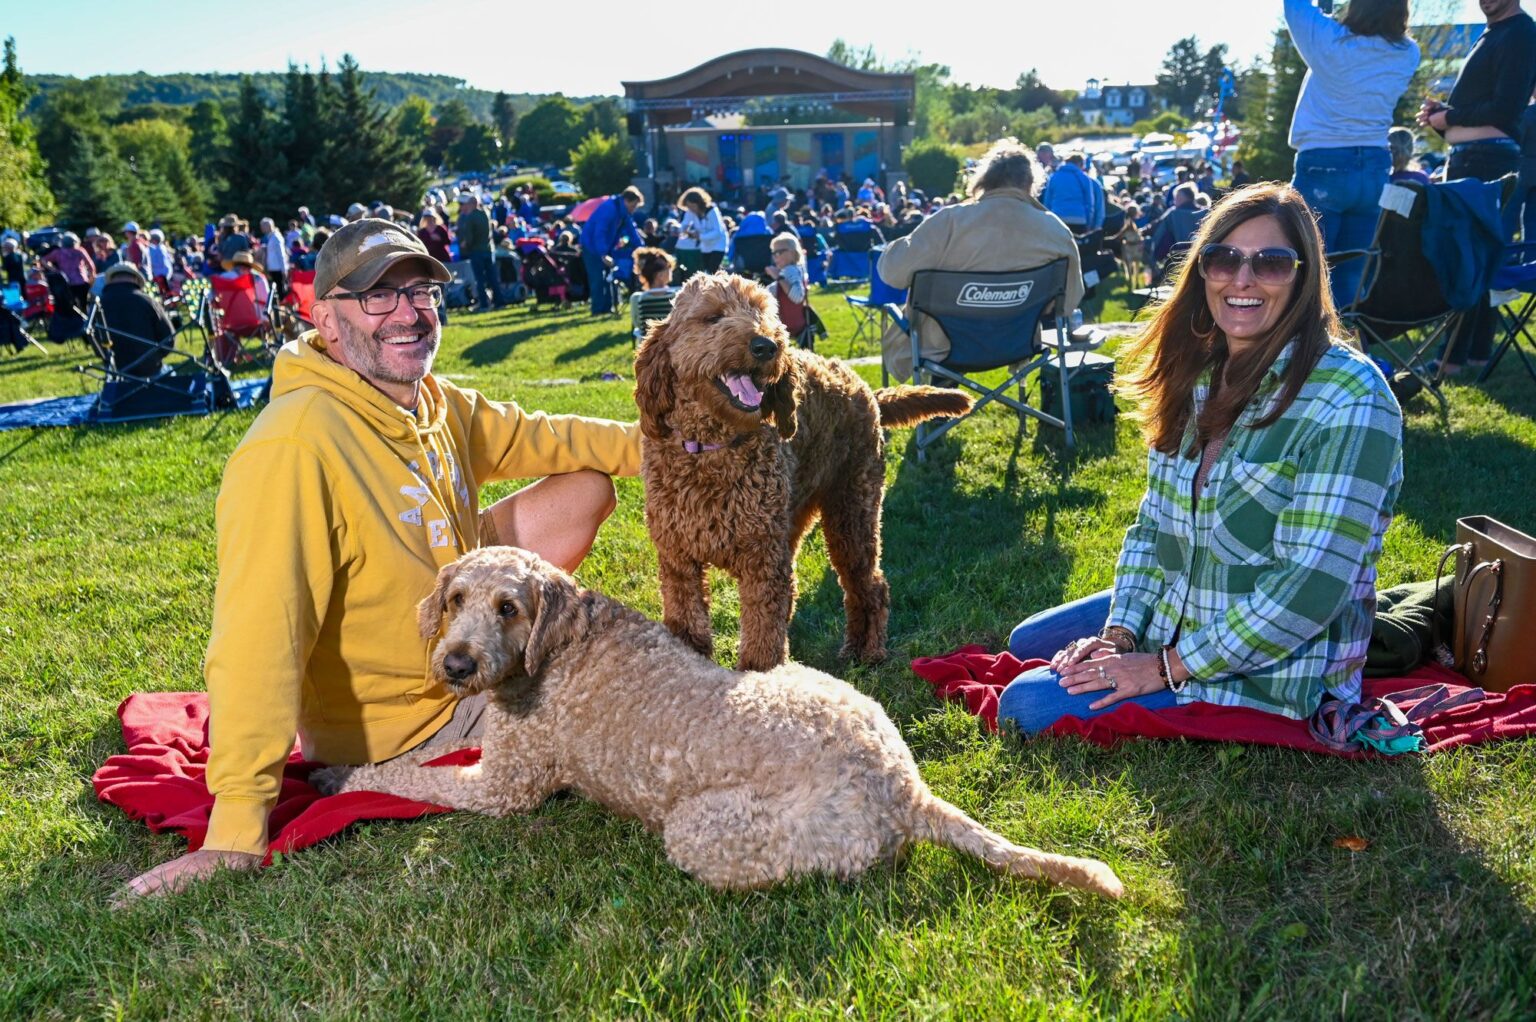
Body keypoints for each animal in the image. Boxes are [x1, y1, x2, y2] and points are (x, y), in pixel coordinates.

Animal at [314, 550, 1130, 891]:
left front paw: (343, 777)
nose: (455, 664)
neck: (560, 644)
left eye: (507, 606)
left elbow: (409, 775)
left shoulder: (503, 788)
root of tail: (905, 788)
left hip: (703, 829)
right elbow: (427, 763)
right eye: (455, 599)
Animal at [632, 270, 970, 670]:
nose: (766, 345)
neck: (712, 450)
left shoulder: (761, 565)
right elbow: (689, 629)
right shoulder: (679, 562)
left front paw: (762, 679)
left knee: (869, 584)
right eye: (712, 317)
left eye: (763, 311)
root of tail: (866, 389)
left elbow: (762, 642)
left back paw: (867, 650)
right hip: (797, 517)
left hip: (851, 513)